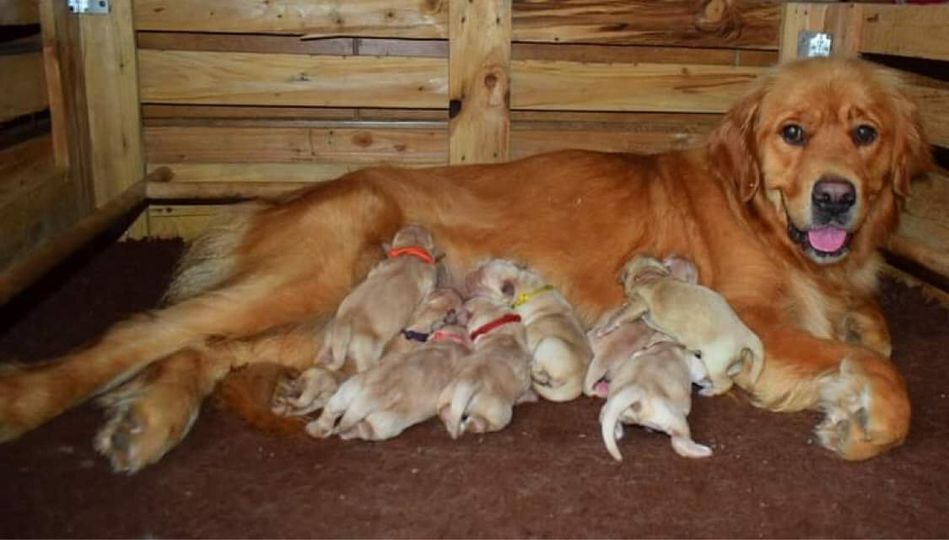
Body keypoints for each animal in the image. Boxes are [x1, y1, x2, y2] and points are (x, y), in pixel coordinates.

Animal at [308, 288, 470, 440]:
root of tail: (371, 394)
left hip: (348, 390)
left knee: (331, 410)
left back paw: (316, 428)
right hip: (386, 422)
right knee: (364, 429)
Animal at [466, 260, 592, 402]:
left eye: (480, 282)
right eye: (479, 267)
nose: (466, 277)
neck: (521, 281)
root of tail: (578, 382)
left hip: (547, 343)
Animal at [604, 253, 768, 396]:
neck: (650, 277)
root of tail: (746, 332)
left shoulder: (639, 304)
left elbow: (621, 316)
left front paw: (607, 328)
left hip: (714, 360)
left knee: (726, 383)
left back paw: (709, 392)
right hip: (729, 361)